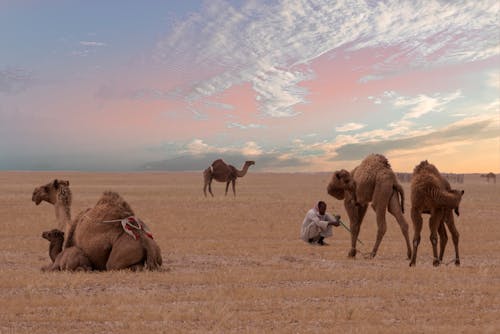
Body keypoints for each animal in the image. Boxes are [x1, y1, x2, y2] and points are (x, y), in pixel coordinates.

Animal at [31, 180, 164, 272]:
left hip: (116, 259)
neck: (70, 226)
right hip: (158, 255)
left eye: (46, 188)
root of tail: (146, 243)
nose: (34, 194)